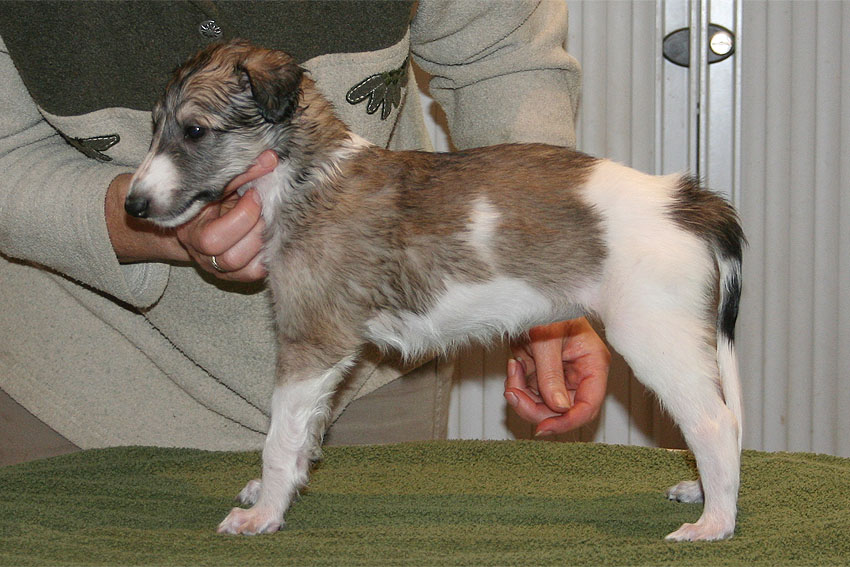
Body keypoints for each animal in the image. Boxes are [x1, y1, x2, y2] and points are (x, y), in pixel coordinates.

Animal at [125, 40, 745, 541]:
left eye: (194, 130)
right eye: (153, 127)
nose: (131, 206)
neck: (306, 178)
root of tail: (683, 199)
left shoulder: (313, 339)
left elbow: (280, 438)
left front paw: (264, 514)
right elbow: (304, 435)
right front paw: (275, 492)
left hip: (654, 336)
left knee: (715, 424)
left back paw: (714, 523)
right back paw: (704, 493)